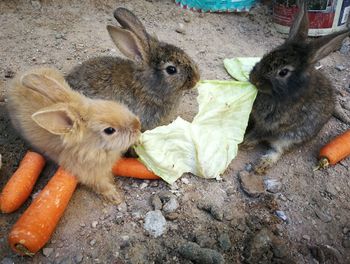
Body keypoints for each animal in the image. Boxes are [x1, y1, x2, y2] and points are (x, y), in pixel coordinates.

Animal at [6, 67, 141, 203]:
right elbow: (101, 185)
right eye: (109, 130)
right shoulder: (88, 174)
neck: (91, 148)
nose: (137, 126)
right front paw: (115, 197)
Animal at [243, 1, 350, 174]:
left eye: (283, 72)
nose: (254, 79)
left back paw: (262, 165)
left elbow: (259, 133)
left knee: (278, 151)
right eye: (268, 54)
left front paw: (246, 142)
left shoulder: (274, 125)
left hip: (291, 138)